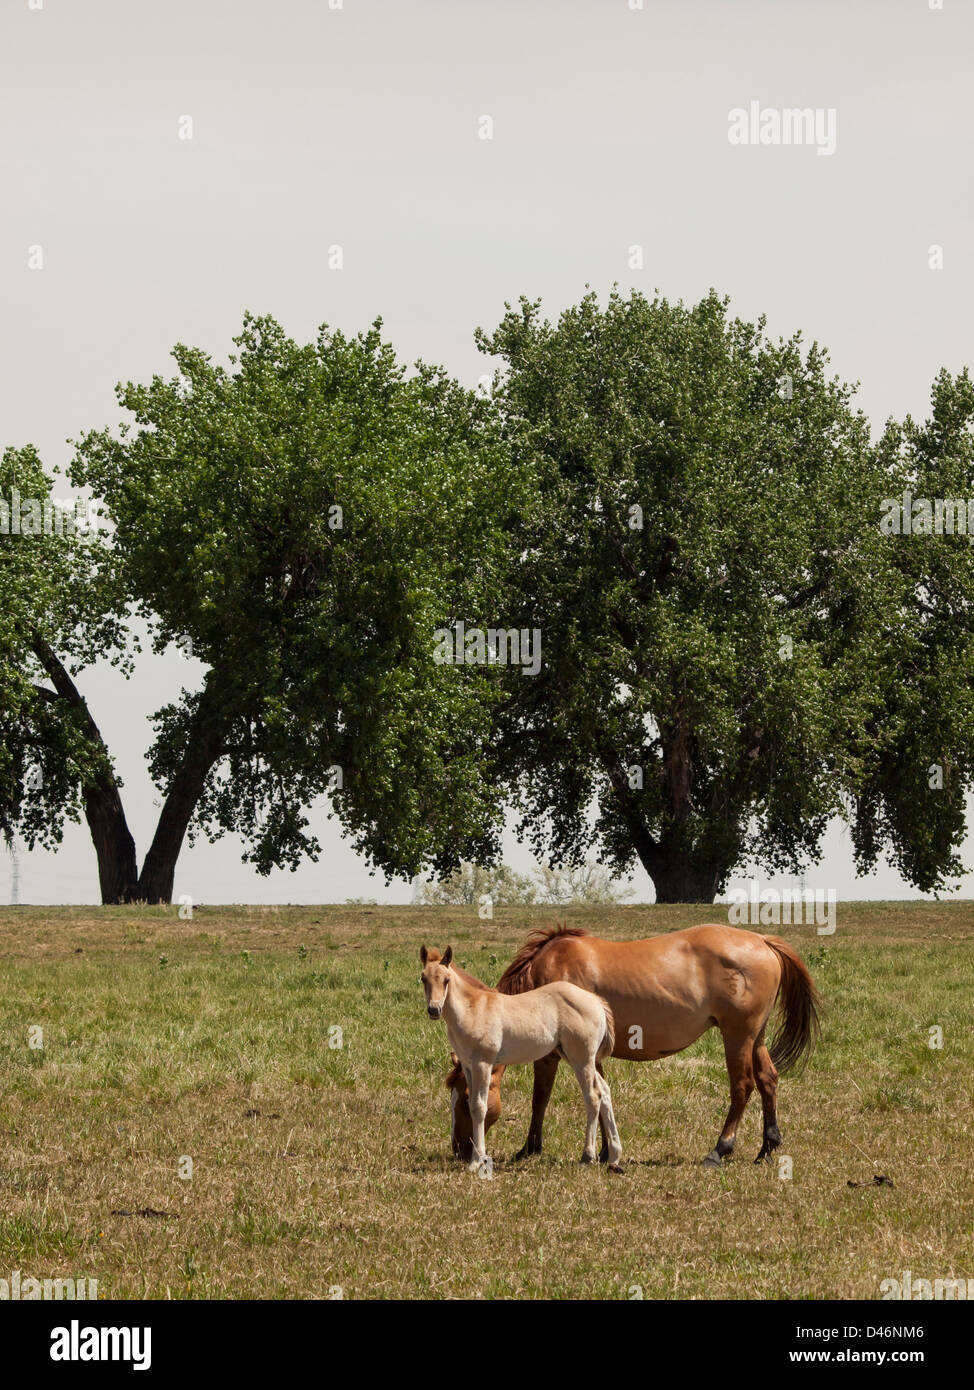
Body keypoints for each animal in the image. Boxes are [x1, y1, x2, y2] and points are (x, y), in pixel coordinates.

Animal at [420, 945, 624, 1173]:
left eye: (446, 979)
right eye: (423, 978)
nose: (434, 1009)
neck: (473, 1008)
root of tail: (596, 1001)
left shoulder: (483, 1063)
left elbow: (479, 1107)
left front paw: (476, 1161)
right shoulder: (468, 1065)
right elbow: (476, 1104)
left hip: (582, 1060)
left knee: (593, 1096)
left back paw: (587, 1156)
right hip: (576, 1058)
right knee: (605, 1091)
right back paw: (614, 1156)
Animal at [446, 923, 820, 1168]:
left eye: (465, 1099)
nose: (459, 1150)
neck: (546, 974)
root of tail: (763, 941)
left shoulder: (558, 1055)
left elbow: (545, 1098)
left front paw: (533, 1148)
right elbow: (592, 1096)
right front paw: (603, 1151)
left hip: (737, 1035)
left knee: (742, 1087)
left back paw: (719, 1149)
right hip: (755, 1036)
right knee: (768, 1080)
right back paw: (767, 1148)